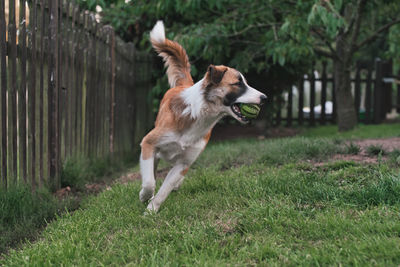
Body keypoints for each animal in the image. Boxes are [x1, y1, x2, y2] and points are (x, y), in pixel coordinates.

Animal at [139, 21, 268, 214]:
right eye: (238, 84)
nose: (265, 98)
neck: (198, 114)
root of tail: (183, 85)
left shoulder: (184, 163)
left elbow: (165, 190)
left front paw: (152, 211)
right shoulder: (148, 143)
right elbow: (149, 182)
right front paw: (145, 198)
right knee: (152, 171)